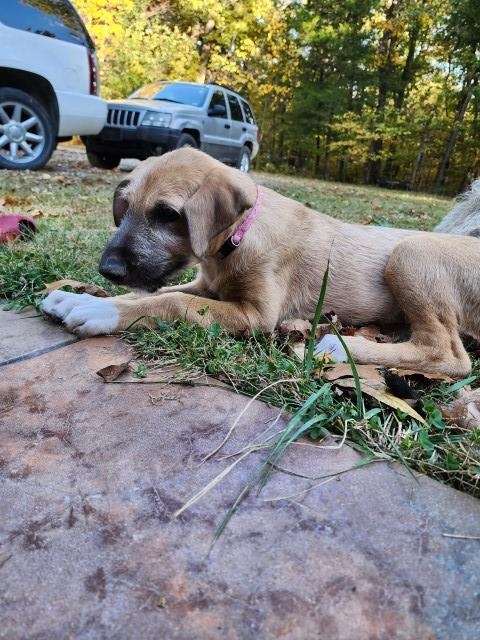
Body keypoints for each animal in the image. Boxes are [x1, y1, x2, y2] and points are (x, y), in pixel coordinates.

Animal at [41, 148, 480, 378]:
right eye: (125, 208)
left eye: (167, 214)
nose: (108, 271)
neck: (235, 240)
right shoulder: (205, 287)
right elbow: (154, 294)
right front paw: (78, 298)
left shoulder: (256, 315)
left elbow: (169, 301)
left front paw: (98, 311)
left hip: (411, 254)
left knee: (449, 356)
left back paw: (336, 349)